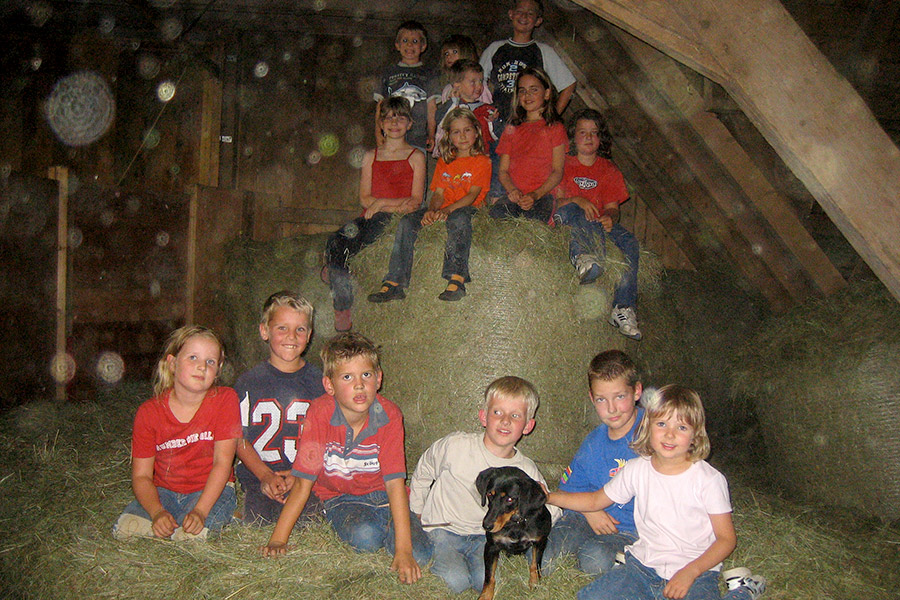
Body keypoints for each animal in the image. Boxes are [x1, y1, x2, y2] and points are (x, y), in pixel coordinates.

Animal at [475, 466, 552, 600]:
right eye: (490, 494)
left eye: (510, 499)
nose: (486, 525)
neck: (516, 525)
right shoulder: (491, 546)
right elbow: (489, 576)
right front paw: (485, 596)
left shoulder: (540, 542)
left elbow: (535, 565)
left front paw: (534, 583)